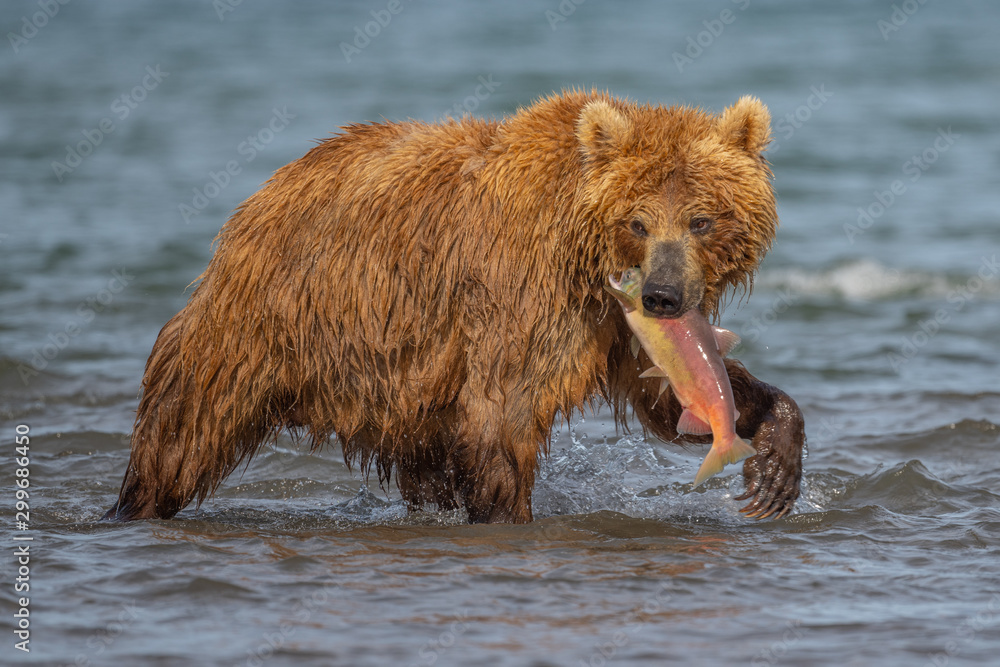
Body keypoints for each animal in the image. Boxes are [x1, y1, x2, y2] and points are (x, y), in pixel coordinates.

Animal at [103, 88, 804, 524]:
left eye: (701, 219)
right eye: (637, 220)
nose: (662, 294)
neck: (583, 255)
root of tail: (264, 192)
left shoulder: (614, 325)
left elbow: (668, 395)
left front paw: (774, 461)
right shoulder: (522, 295)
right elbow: (502, 413)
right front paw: (508, 514)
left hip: (399, 387)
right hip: (266, 319)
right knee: (183, 429)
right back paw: (131, 503)